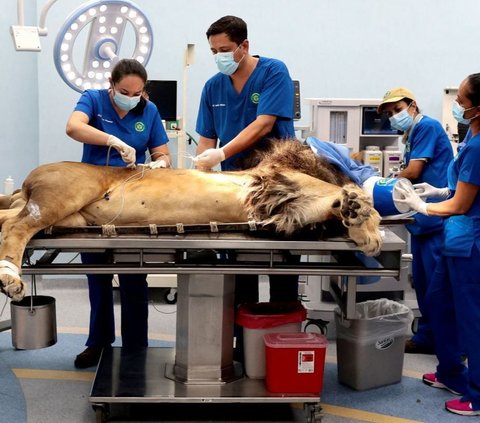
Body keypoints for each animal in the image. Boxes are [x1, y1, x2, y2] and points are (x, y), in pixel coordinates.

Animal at [0, 140, 382, 302]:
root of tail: (27, 182)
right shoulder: (294, 188)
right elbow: (353, 195)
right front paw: (367, 224)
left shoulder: (292, 206)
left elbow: (340, 201)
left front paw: (358, 220)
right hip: (65, 196)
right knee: (16, 227)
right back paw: (11, 280)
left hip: (69, 212)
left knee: (8, 220)